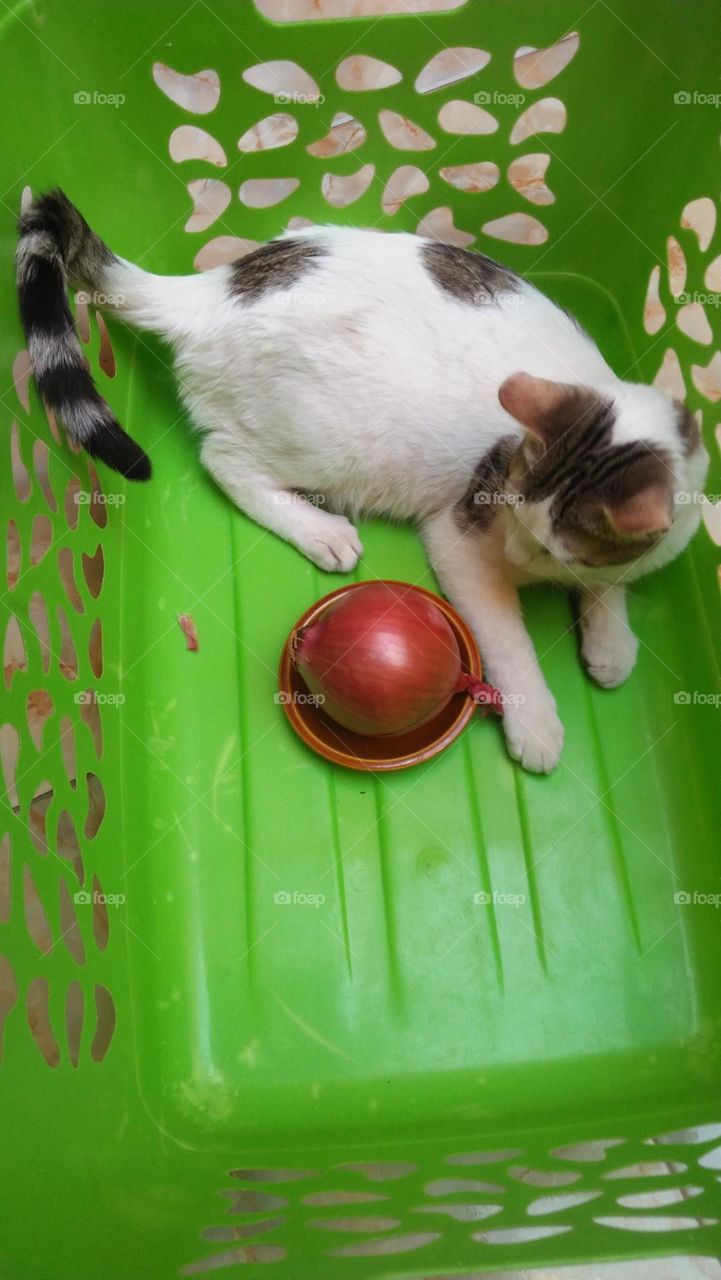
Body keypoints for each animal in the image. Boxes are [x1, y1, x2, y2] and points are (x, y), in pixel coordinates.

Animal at [16, 186, 712, 768]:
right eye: (514, 517)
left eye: (553, 547)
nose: (517, 554)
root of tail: (216, 287)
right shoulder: (462, 539)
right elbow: (509, 641)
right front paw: (536, 720)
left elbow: (611, 581)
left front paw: (611, 641)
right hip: (330, 441)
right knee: (224, 461)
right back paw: (320, 530)